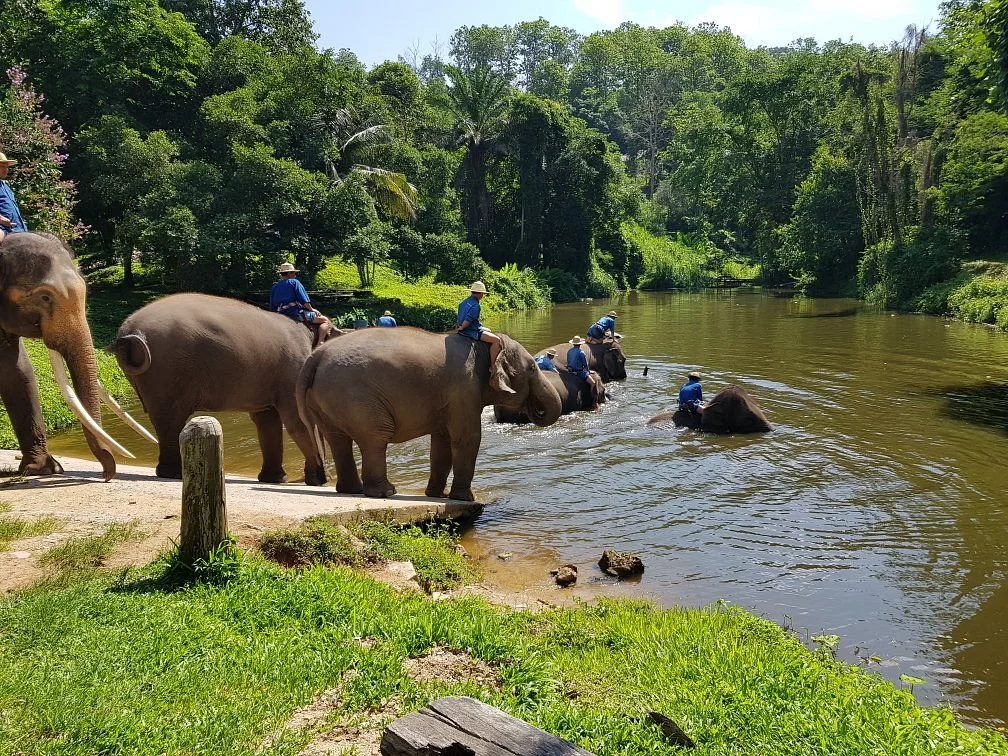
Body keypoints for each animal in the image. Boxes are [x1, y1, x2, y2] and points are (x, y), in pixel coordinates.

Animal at [109, 293, 337, 485]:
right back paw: (174, 473)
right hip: (167, 370)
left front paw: (274, 479)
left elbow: (267, 421)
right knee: (171, 418)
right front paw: (320, 481)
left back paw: (169, 472)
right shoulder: (293, 369)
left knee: (164, 419)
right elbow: (297, 420)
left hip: (151, 376)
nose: (326, 475)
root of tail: (128, 334)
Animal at [296, 327, 563, 501]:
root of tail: (315, 356)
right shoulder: (463, 390)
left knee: (337, 440)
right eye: (532, 368)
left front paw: (437, 495)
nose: (533, 409)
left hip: (326, 399)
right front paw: (465, 499)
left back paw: (351, 490)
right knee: (376, 437)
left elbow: (442, 443)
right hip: (355, 397)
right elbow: (467, 438)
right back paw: (385, 492)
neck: (484, 345)